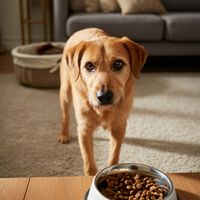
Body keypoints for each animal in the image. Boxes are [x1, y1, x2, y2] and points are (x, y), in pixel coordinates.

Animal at [57, 27, 147, 175]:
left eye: (118, 64)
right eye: (89, 66)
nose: (103, 96)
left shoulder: (119, 126)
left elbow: (114, 157)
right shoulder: (84, 129)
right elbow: (89, 164)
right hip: (65, 91)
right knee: (65, 115)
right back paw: (63, 134)